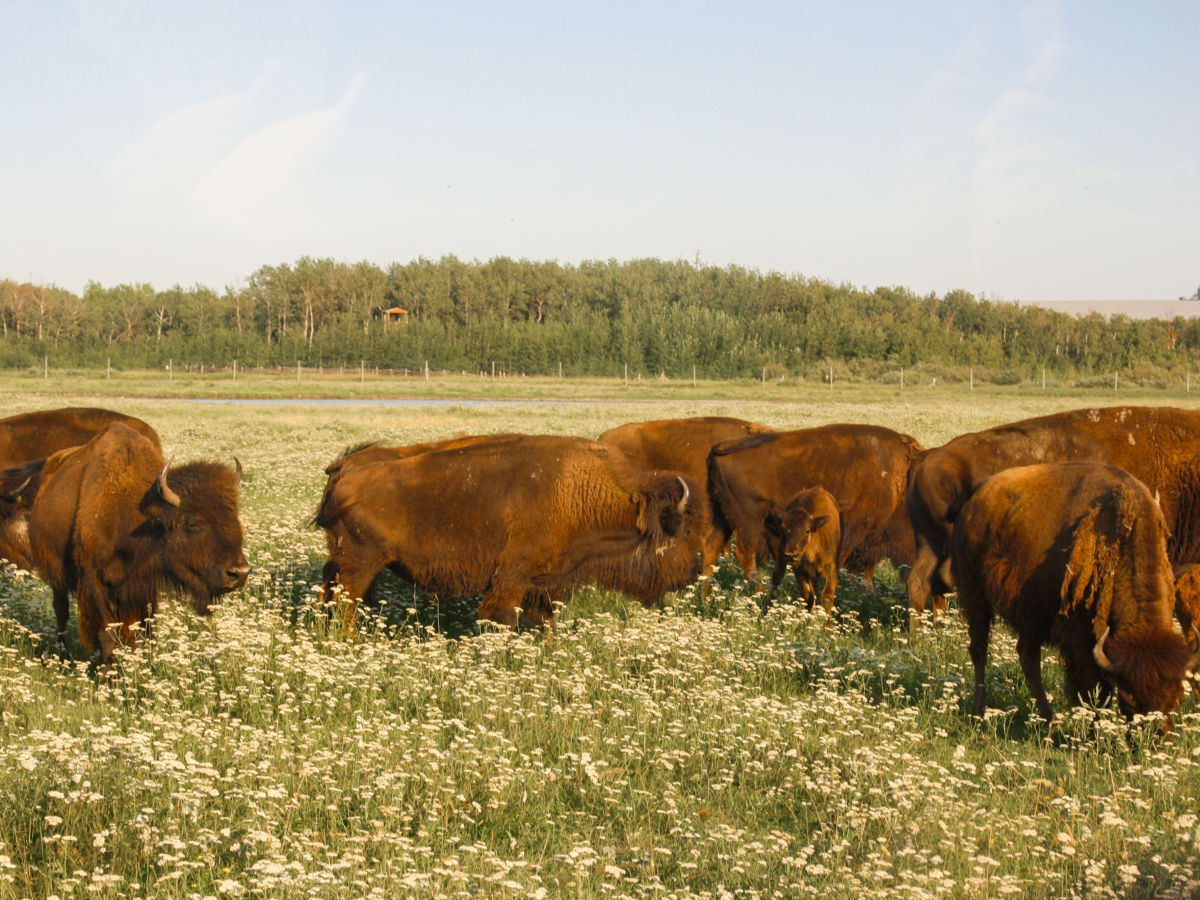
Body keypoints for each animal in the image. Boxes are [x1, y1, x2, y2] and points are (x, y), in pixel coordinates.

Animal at [316, 434, 705, 628]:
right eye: (684, 531)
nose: (693, 572)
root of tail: (344, 472)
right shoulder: (512, 580)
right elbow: (503, 620)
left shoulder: (545, 583)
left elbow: (543, 622)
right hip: (361, 564)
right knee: (345, 604)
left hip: (344, 562)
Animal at [952, 461, 1200, 727]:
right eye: (1129, 701)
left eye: (1176, 701)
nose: (1155, 735)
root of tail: (973, 501)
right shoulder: (1080, 637)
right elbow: (1094, 691)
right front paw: (1093, 728)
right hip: (975, 596)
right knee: (979, 649)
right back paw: (980, 712)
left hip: (1031, 612)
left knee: (1028, 657)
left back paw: (1049, 720)